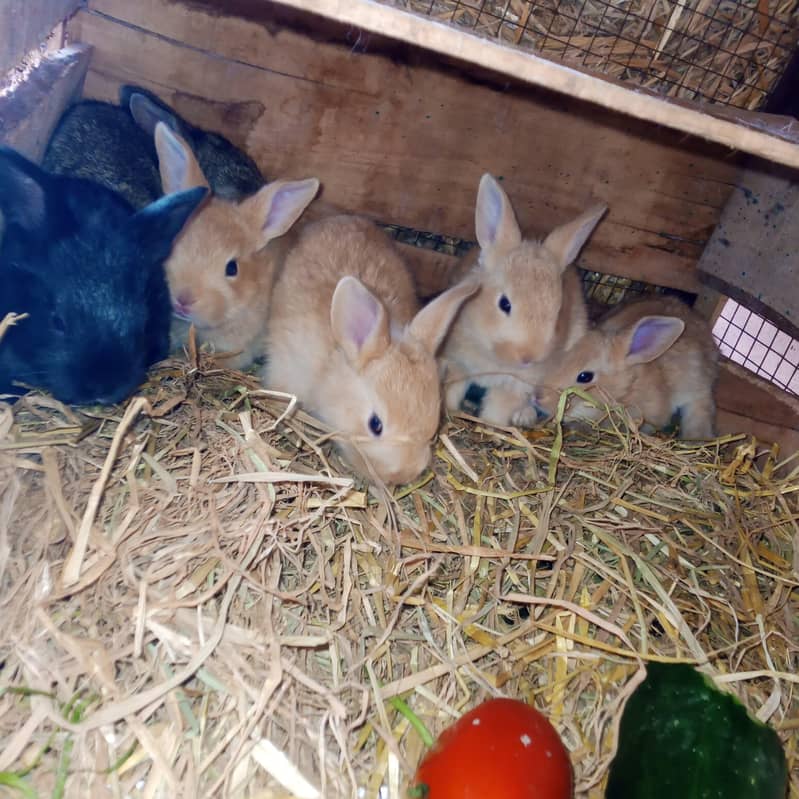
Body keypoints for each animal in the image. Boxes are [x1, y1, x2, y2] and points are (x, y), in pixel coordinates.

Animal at [440, 173, 607, 428]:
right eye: (504, 304)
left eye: (559, 312)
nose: (529, 357)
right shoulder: (458, 365)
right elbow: (454, 391)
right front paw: (450, 412)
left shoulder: (516, 386)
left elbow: (498, 409)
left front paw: (491, 425)